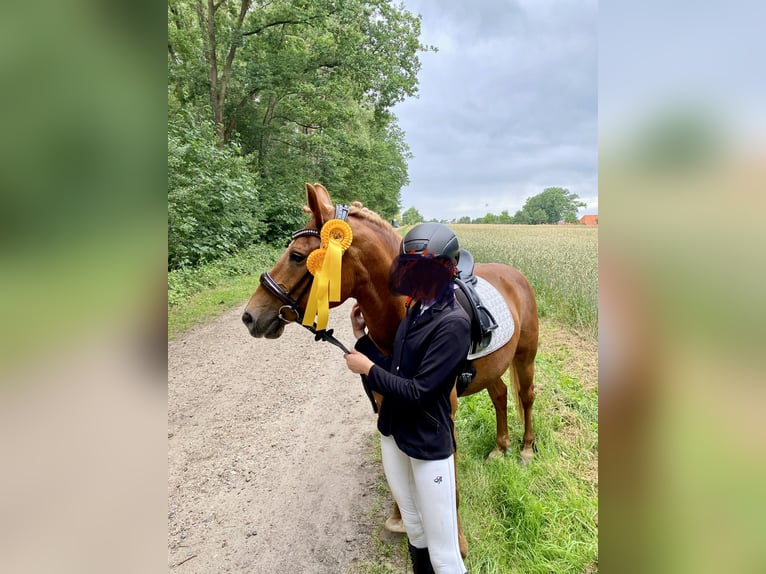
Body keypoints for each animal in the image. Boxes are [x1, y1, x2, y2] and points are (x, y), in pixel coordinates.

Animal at [242, 183, 539, 557]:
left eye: (296, 255)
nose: (250, 315)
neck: (403, 320)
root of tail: (516, 275)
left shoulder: (443, 412)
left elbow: (450, 482)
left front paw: (457, 542)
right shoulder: (387, 401)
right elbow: (398, 465)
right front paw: (401, 519)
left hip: (525, 357)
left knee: (525, 397)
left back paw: (526, 449)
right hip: (494, 368)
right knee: (500, 395)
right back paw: (500, 449)